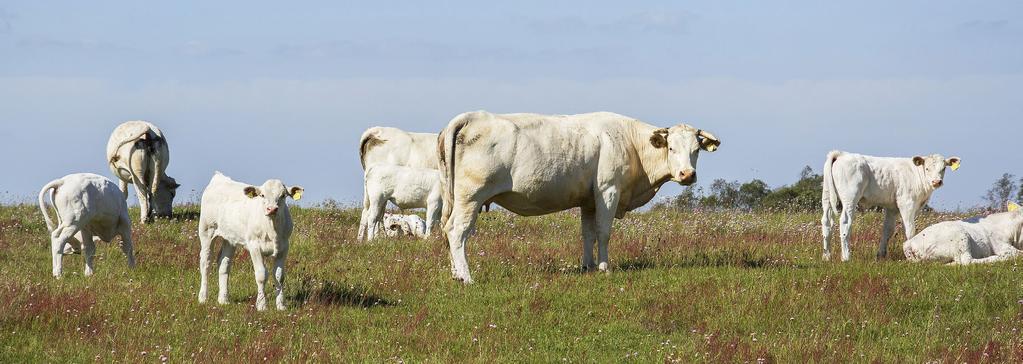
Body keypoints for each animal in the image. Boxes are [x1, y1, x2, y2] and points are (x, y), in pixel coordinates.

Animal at [197, 171, 302, 310]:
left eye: (283, 195)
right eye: (262, 195)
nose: (272, 209)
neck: (272, 229)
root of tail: (219, 178)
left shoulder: (284, 247)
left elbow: (279, 276)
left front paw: (281, 306)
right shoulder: (254, 246)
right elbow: (261, 275)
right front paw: (261, 305)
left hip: (230, 238)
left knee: (224, 263)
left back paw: (223, 299)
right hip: (207, 231)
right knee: (206, 262)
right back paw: (203, 298)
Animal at [437, 112, 720, 282]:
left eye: (696, 150)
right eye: (671, 147)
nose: (687, 174)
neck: (630, 143)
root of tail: (472, 116)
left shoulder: (589, 200)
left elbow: (588, 234)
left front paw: (588, 267)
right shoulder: (608, 191)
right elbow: (604, 232)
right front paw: (605, 268)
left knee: (448, 230)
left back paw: (455, 274)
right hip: (470, 197)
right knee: (457, 232)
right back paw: (466, 277)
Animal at [818, 150, 961, 261]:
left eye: (943, 168)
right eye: (927, 168)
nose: (937, 181)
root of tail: (841, 154)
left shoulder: (892, 207)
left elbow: (888, 230)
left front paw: (881, 255)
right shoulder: (907, 203)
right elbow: (910, 229)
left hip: (826, 197)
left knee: (826, 222)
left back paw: (826, 256)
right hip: (850, 198)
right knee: (845, 222)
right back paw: (846, 257)